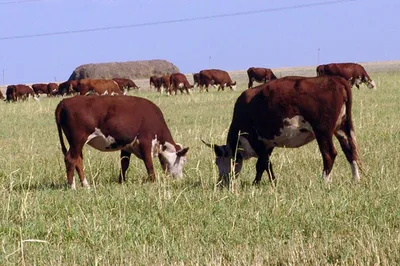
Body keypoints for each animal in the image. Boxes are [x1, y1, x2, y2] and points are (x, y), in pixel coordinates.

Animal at [55, 94, 191, 188]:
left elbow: (124, 164)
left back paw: (86, 185)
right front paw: (153, 182)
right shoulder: (145, 142)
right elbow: (149, 165)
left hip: (76, 143)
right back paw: (72, 186)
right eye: (183, 161)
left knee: (78, 160)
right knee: (71, 159)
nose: (180, 179)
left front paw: (121, 182)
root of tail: (64, 101)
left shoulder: (127, 146)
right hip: (78, 140)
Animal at [203, 75, 362, 187]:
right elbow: (261, 165)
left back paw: (324, 181)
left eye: (217, 162)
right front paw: (256, 183)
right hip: (342, 128)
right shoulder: (268, 143)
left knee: (329, 154)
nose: (221, 182)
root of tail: (336, 80)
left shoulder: (256, 140)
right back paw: (356, 179)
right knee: (350, 151)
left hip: (322, 132)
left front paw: (273, 182)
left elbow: (265, 163)